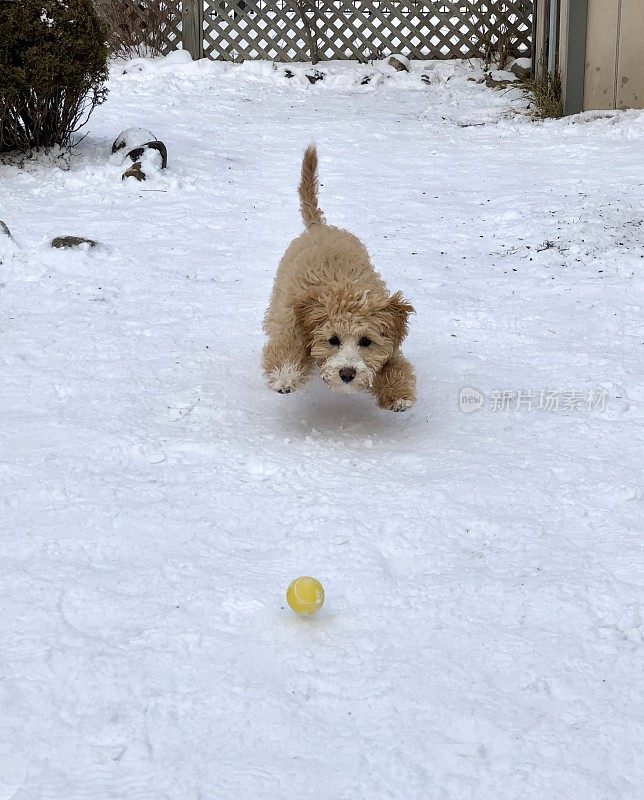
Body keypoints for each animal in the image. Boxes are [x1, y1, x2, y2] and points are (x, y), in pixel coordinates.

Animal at [262, 145, 418, 412]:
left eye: (366, 341)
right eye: (333, 340)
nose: (347, 373)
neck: (342, 288)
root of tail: (319, 227)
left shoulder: (388, 344)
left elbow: (395, 365)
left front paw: (398, 394)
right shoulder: (290, 320)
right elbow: (286, 346)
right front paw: (285, 375)